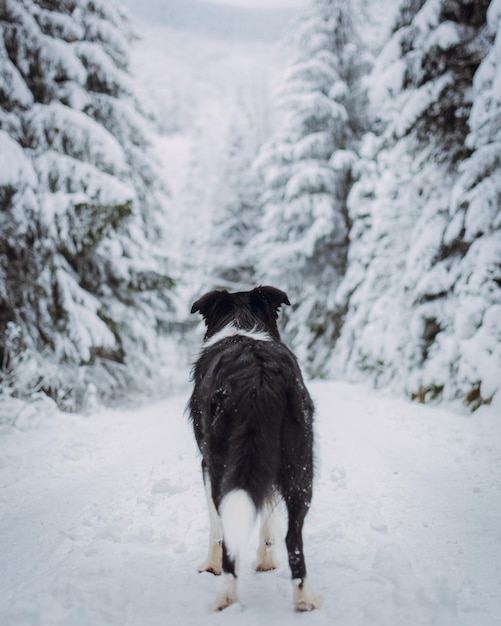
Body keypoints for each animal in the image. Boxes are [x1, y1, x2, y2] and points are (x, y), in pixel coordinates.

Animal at [188, 286, 320, 608]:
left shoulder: (206, 465)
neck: (241, 323)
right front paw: (266, 562)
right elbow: (269, 514)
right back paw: (304, 600)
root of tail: (259, 376)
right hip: (300, 465)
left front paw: (209, 566)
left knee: (229, 536)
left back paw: (225, 597)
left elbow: (217, 528)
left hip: (223, 462)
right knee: (293, 537)